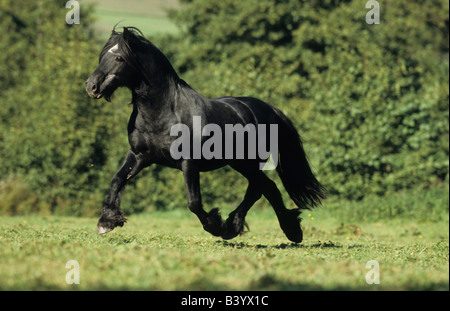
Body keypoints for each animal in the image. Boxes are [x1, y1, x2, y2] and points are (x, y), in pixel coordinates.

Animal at [85, 27, 324, 244]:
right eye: (102, 55)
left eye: (119, 57)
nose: (91, 86)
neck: (164, 112)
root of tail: (268, 108)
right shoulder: (138, 156)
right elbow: (117, 179)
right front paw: (107, 222)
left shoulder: (188, 162)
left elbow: (194, 202)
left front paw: (216, 225)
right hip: (240, 163)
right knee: (266, 188)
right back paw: (280, 229)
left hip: (249, 162)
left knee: (260, 189)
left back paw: (242, 228)